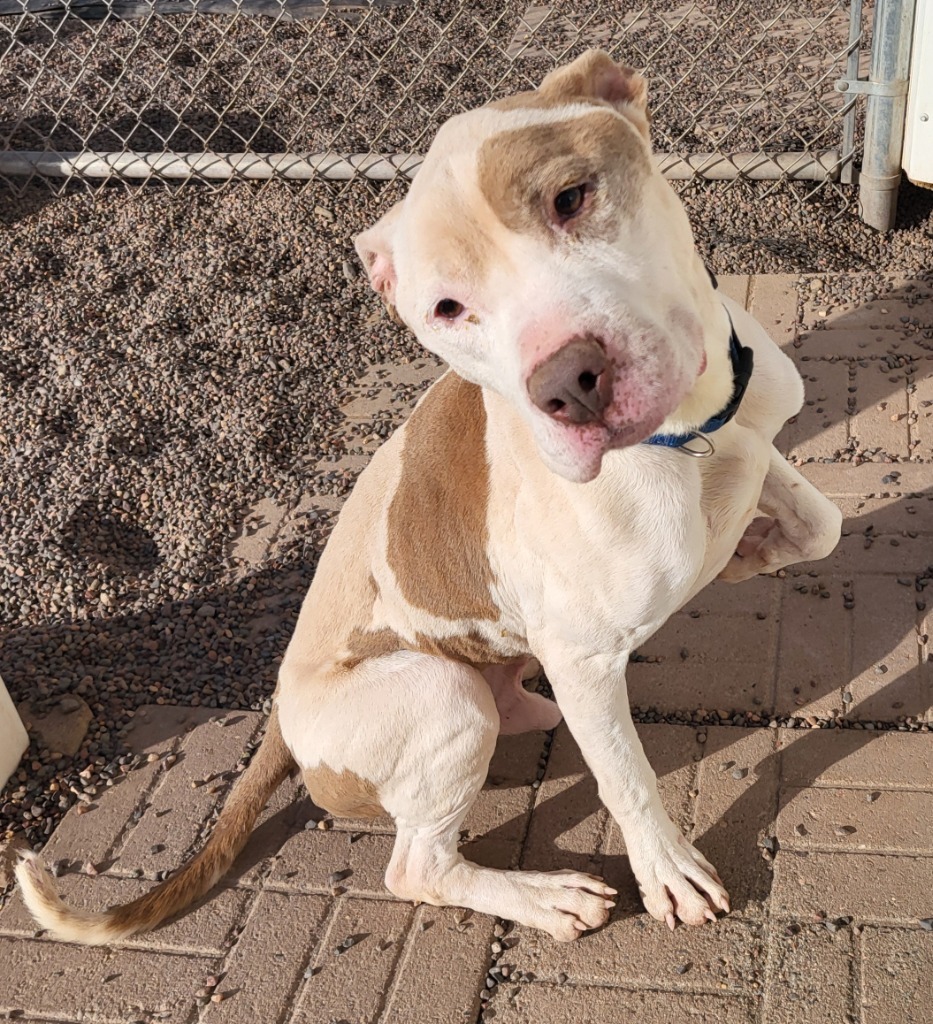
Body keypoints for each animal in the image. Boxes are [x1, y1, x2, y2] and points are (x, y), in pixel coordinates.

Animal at [16, 48, 847, 942]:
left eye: (570, 197)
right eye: (446, 308)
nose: (567, 384)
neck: (690, 435)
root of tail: (279, 718)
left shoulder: (757, 438)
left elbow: (821, 523)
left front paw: (746, 550)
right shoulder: (584, 659)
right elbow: (626, 779)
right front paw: (667, 872)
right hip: (441, 696)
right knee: (417, 865)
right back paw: (544, 897)